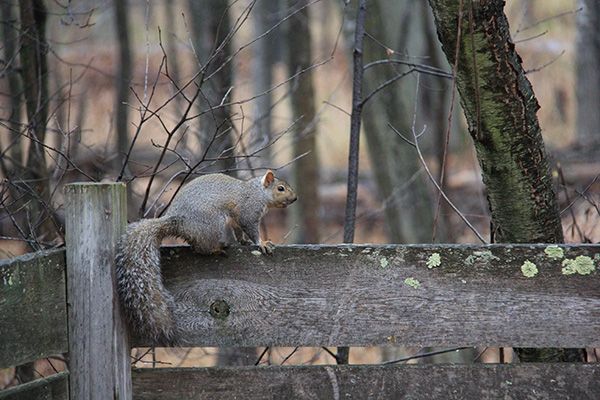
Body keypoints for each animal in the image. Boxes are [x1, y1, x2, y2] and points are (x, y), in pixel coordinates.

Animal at [113, 170, 296, 346]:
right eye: (280, 188)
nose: (295, 198)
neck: (258, 192)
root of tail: (179, 222)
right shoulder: (248, 211)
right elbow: (250, 228)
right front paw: (262, 243)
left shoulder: (236, 220)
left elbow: (238, 231)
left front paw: (244, 241)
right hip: (213, 224)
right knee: (202, 248)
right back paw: (217, 249)